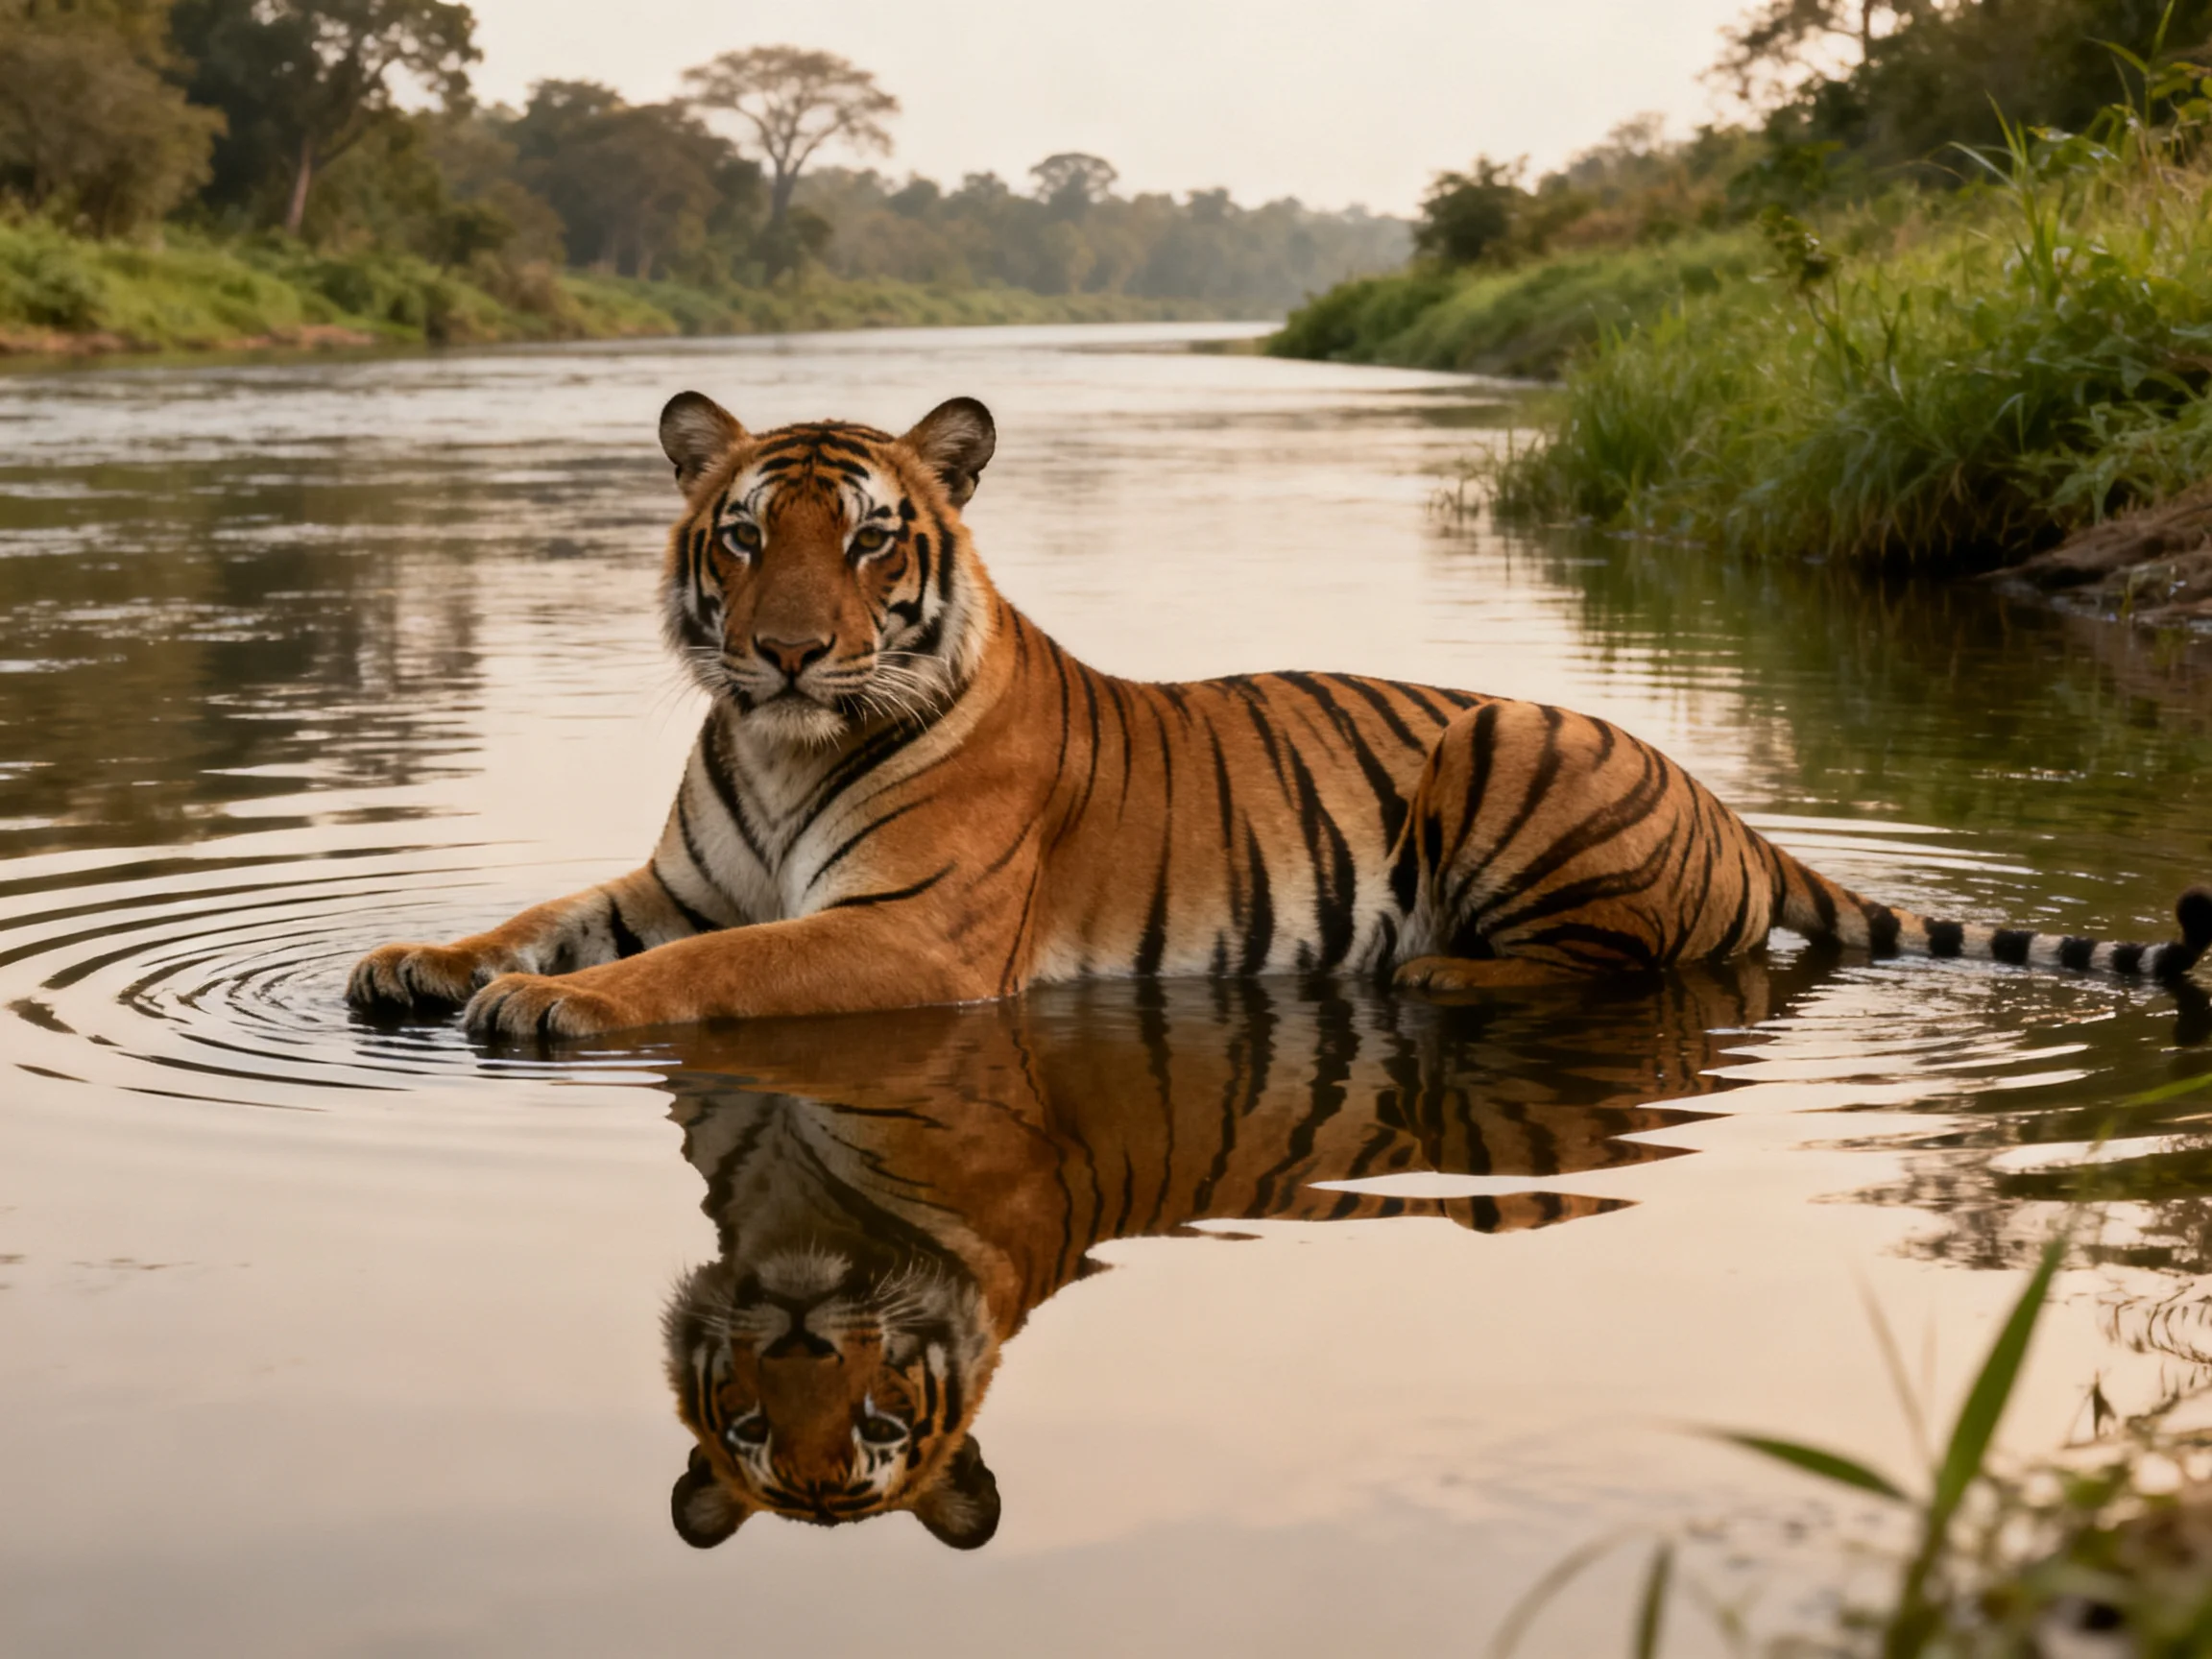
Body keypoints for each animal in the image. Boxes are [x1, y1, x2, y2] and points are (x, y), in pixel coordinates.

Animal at [345, 390, 2212, 1038]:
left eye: (868, 537)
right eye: (743, 535)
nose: (792, 651)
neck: (779, 741)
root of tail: (1728, 799)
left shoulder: (905, 932)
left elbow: (697, 975)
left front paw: (541, 1008)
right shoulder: (685, 878)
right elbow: (547, 911)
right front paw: (420, 963)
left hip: (1507, 744)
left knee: (1641, 961)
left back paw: (1435, 972)